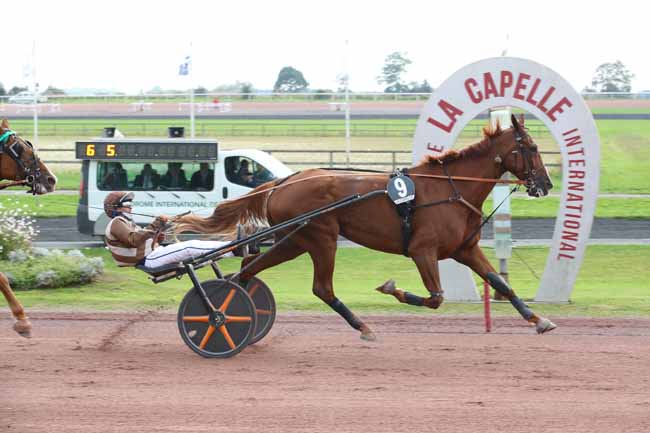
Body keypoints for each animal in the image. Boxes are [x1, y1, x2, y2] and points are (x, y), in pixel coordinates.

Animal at [175, 114, 556, 338]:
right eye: (532, 146)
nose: (546, 184)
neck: (450, 187)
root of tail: (283, 182)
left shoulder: (465, 249)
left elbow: (500, 283)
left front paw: (538, 319)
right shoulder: (422, 250)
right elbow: (435, 298)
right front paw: (391, 288)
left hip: (294, 240)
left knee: (247, 268)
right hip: (321, 238)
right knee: (321, 288)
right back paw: (362, 325)